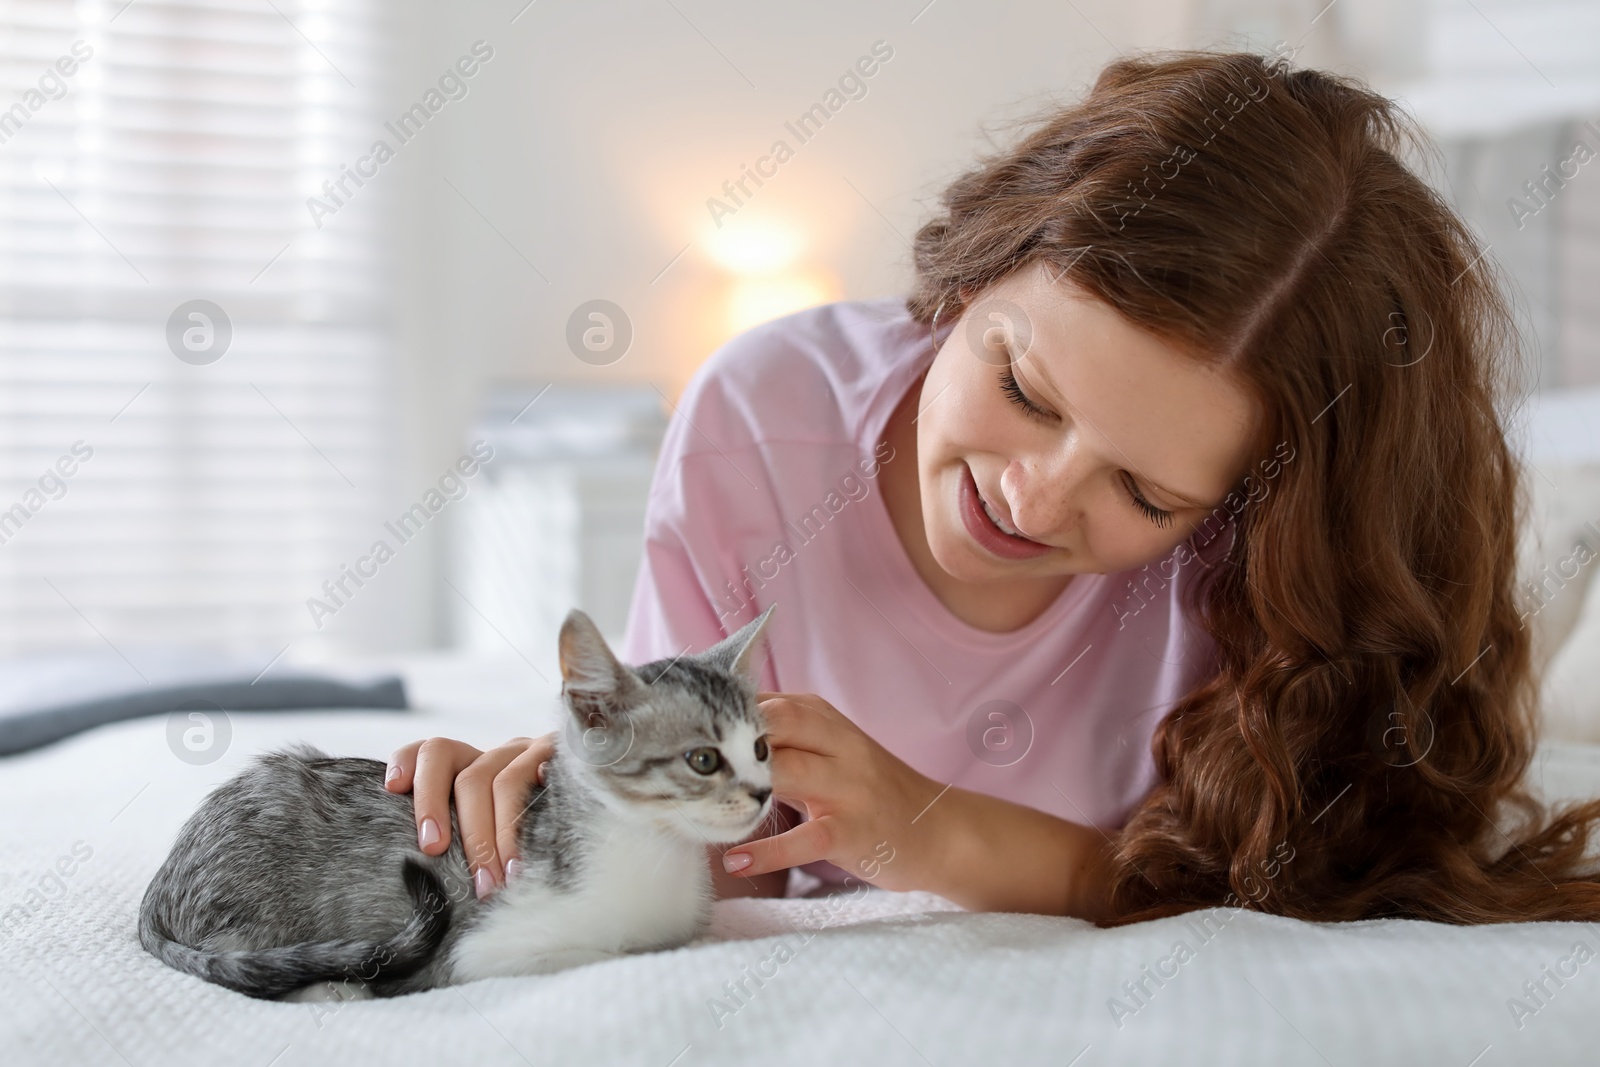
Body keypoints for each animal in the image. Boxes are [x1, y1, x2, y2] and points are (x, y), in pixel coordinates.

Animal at [140, 607, 777, 1004]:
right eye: (703, 760)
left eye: (761, 749)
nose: (765, 792)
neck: (655, 851)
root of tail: (163, 881)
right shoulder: (478, 950)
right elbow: (602, 955)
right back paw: (330, 985)